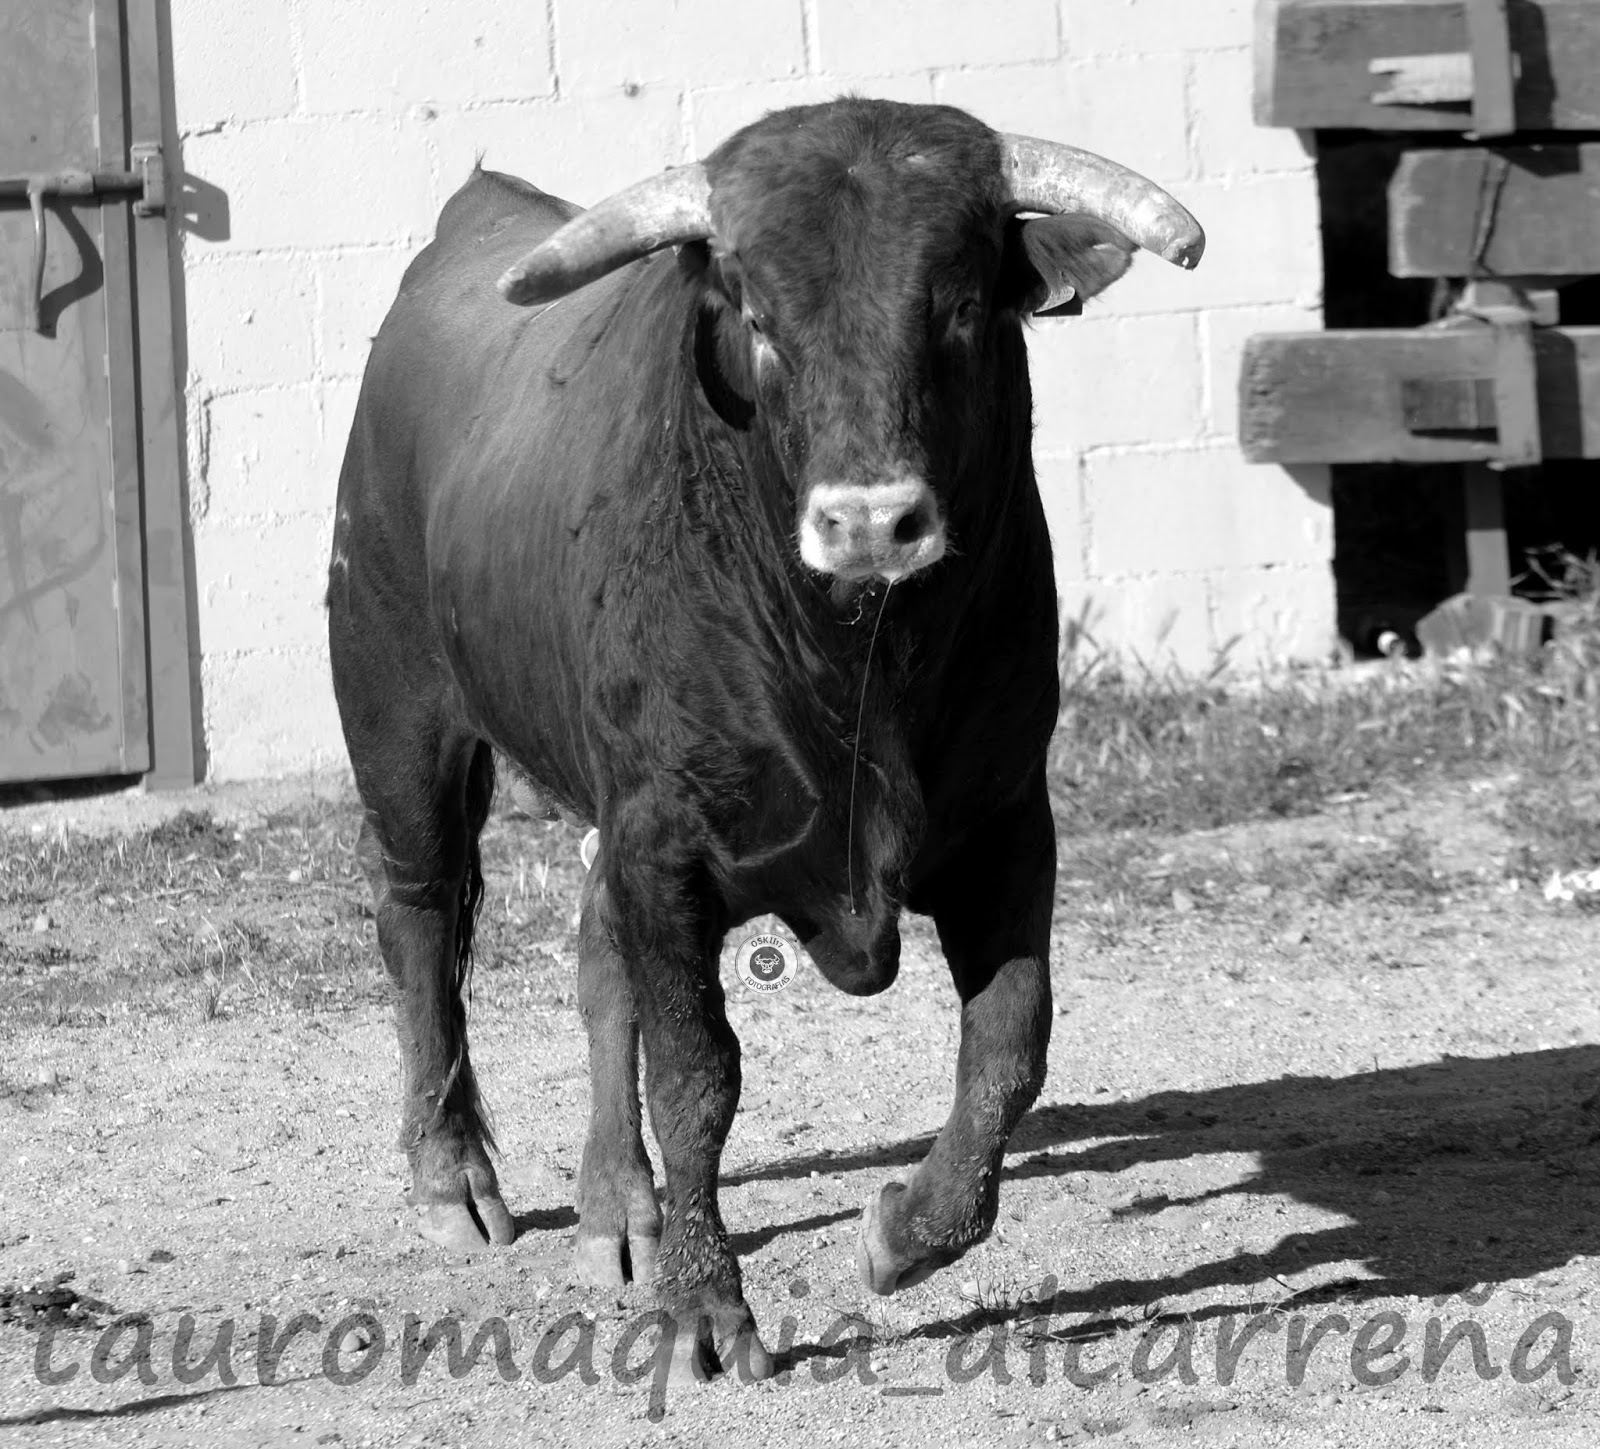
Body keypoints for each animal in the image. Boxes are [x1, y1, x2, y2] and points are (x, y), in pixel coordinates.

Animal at [327, 97, 1202, 1383]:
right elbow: (696, 1072)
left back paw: (617, 1211)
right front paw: (703, 1312)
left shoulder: (1005, 821)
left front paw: (905, 1231)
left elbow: (1010, 1043)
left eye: (957, 303)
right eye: (753, 314)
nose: (870, 521)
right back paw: (452, 1180)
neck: (854, 656)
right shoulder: (667, 839)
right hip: (399, 713)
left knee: (596, 962)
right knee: (421, 922)